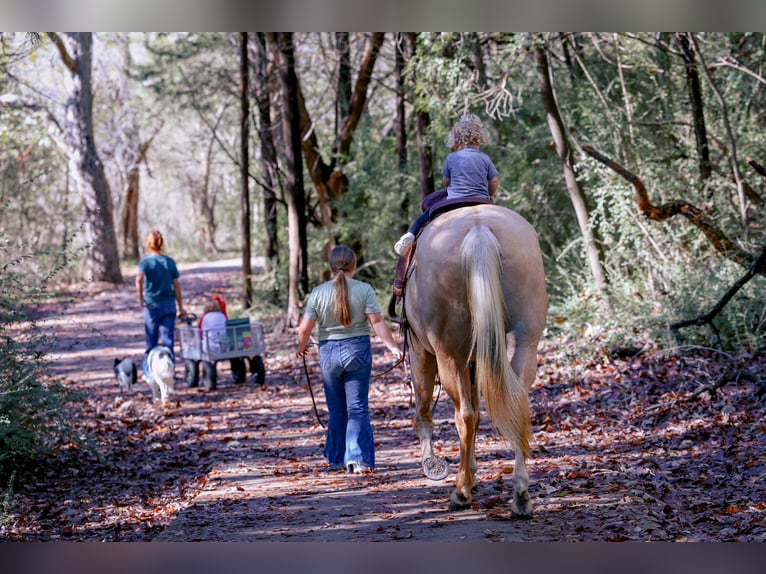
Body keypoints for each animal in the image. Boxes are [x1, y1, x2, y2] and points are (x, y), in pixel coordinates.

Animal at [402, 203, 547, 515]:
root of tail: (479, 230)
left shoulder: (420, 352)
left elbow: (424, 410)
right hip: (525, 340)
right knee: (516, 401)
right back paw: (520, 495)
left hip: (449, 354)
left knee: (464, 415)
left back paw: (461, 491)